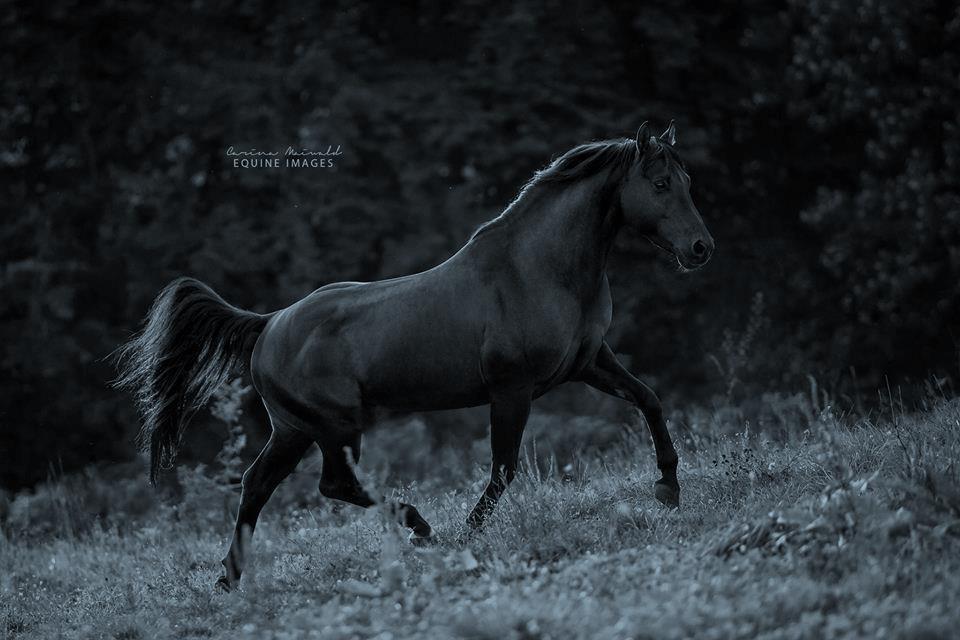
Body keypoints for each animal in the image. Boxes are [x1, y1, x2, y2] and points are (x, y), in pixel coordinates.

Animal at [112, 121, 712, 592]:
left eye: (687, 182)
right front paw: (469, 534)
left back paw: (230, 578)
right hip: (333, 426)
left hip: (294, 429)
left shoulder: (590, 363)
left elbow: (650, 399)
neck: (537, 270)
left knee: (258, 483)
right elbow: (504, 467)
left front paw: (668, 487)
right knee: (333, 485)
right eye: (659, 183)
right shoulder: (511, 389)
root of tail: (268, 325)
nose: (701, 249)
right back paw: (421, 529)